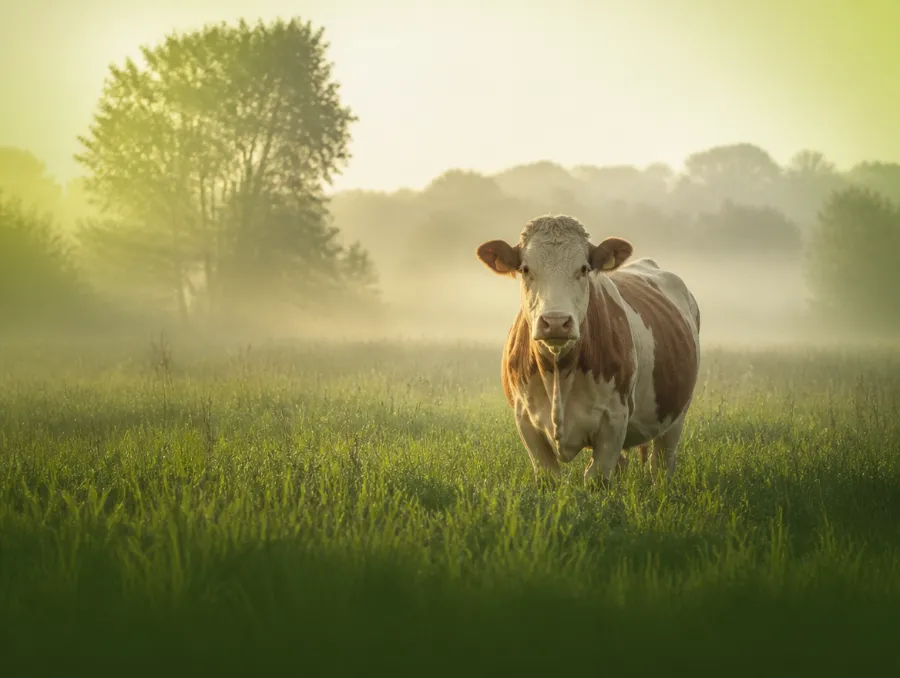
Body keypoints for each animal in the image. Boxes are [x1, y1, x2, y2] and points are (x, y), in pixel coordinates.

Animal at [475, 214, 701, 487]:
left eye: (583, 269)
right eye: (525, 269)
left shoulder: (614, 421)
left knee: (661, 464)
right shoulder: (525, 421)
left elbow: (597, 479)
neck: (558, 372)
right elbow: (549, 476)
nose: (556, 322)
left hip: (676, 417)